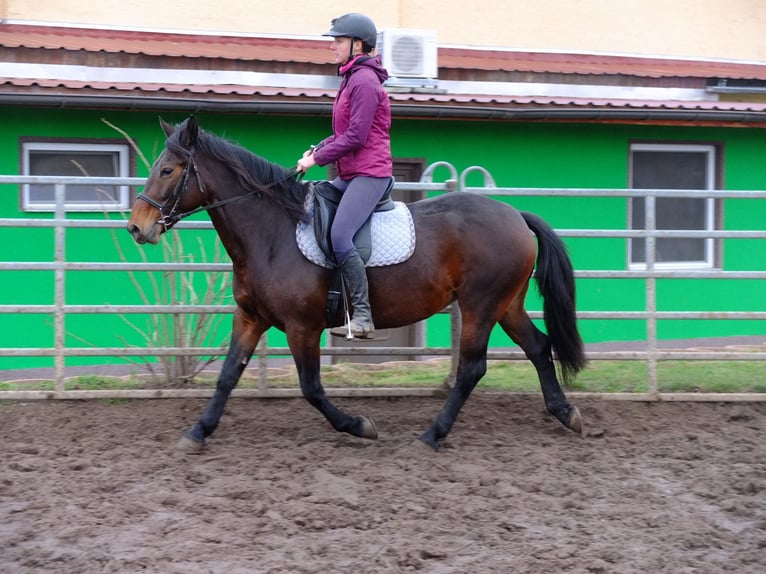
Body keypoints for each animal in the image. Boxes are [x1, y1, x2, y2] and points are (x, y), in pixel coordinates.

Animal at [129, 115, 592, 452]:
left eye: (168, 170)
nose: (136, 227)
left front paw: (358, 425)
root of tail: (515, 215)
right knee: (538, 347)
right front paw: (197, 432)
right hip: (506, 304)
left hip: (481, 306)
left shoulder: (302, 327)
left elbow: (311, 387)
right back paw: (566, 413)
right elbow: (227, 376)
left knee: (473, 368)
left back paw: (432, 434)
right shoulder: (250, 318)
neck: (272, 233)